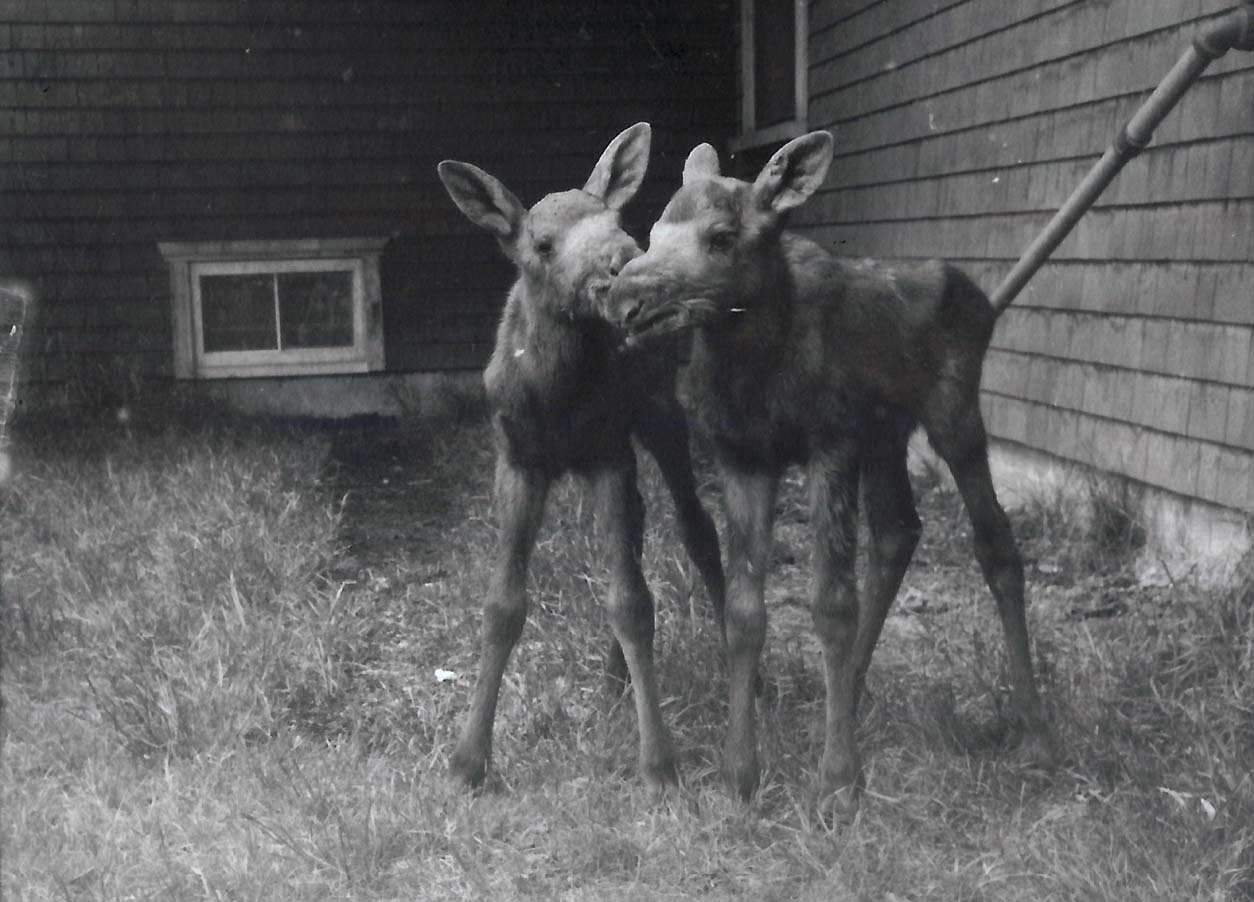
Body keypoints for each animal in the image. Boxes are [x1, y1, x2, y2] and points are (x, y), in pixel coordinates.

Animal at [438, 123, 727, 792]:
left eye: (618, 221)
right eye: (541, 244)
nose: (624, 259)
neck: (558, 395)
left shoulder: (605, 454)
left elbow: (631, 601)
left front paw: (658, 763)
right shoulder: (517, 459)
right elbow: (502, 606)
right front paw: (468, 761)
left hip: (660, 410)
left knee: (697, 528)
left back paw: (739, 665)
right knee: (643, 523)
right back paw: (612, 683)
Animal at [606, 130, 1058, 812]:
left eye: (722, 237)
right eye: (654, 232)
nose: (625, 298)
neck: (755, 372)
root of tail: (980, 298)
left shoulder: (831, 443)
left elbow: (830, 604)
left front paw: (839, 778)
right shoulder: (744, 457)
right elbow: (743, 609)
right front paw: (741, 772)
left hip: (952, 413)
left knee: (996, 545)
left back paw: (1033, 728)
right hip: (885, 435)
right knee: (899, 531)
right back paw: (853, 685)